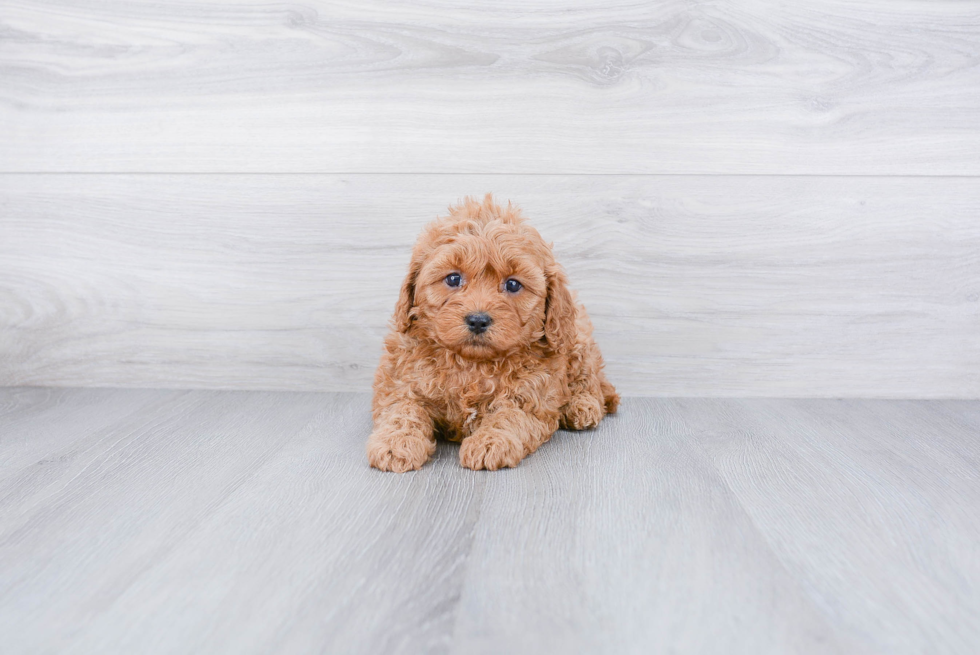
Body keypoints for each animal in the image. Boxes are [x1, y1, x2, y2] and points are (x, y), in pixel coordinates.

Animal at [368, 195, 620, 472]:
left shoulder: (531, 397)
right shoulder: (400, 382)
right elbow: (402, 409)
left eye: (513, 284)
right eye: (453, 279)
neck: (472, 364)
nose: (478, 320)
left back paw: (581, 406)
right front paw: (396, 443)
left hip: (576, 339)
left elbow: (509, 416)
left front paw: (490, 442)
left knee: (592, 381)